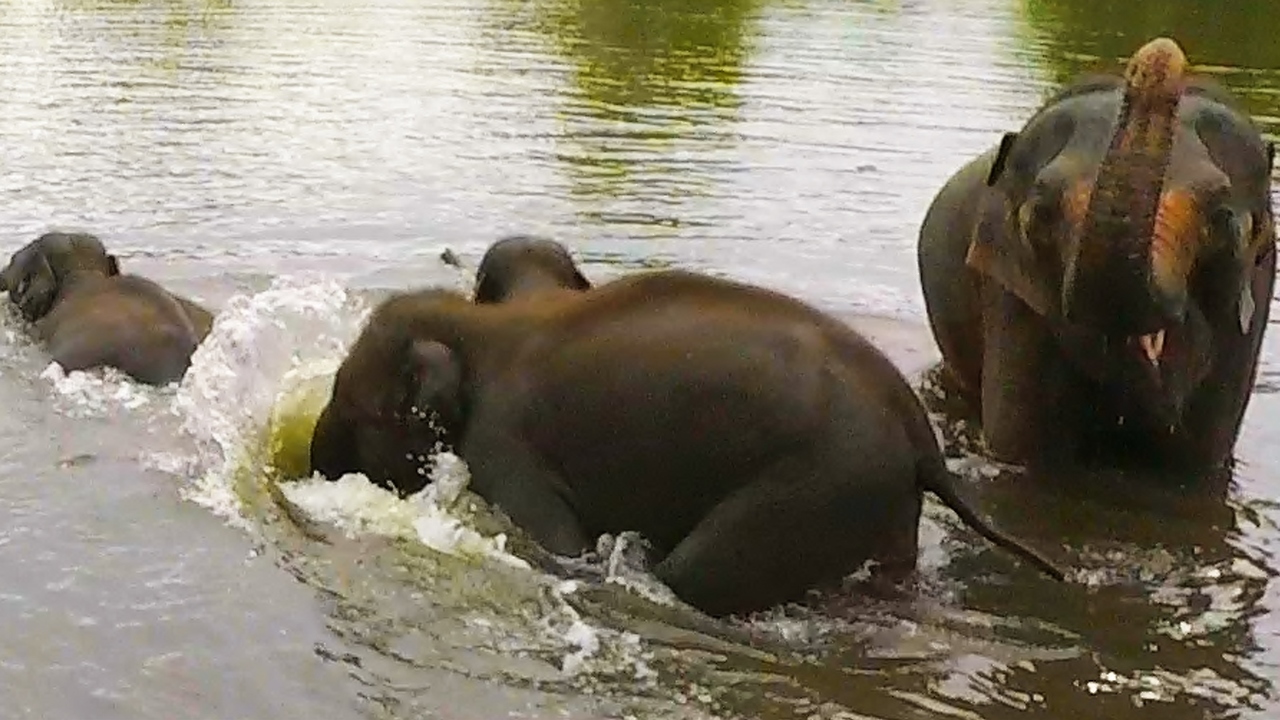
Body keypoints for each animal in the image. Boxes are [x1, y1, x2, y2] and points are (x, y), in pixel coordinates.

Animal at [307, 266, 1059, 614]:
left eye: (355, 411)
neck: (473, 328)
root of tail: (920, 435)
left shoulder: (505, 446)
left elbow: (558, 547)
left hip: (821, 482)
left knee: (697, 575)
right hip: (880, 495)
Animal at [916, 36, 1274, 471]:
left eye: (1223, 219)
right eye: (1040, 216)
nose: (1159, 52)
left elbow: (1198, 467)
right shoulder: (1009, 297)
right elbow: (1022, 450)